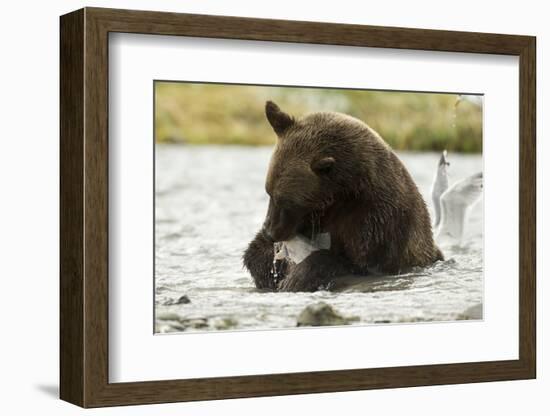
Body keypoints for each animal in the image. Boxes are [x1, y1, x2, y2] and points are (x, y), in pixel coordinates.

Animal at [244, 100, 446, 292]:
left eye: (287, 201)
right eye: (269, 192)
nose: (270, 232)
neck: (341, 195)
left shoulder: (377, 224)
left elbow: (358, 264)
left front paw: (296, 277)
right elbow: (255, 253)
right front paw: (269, 263)